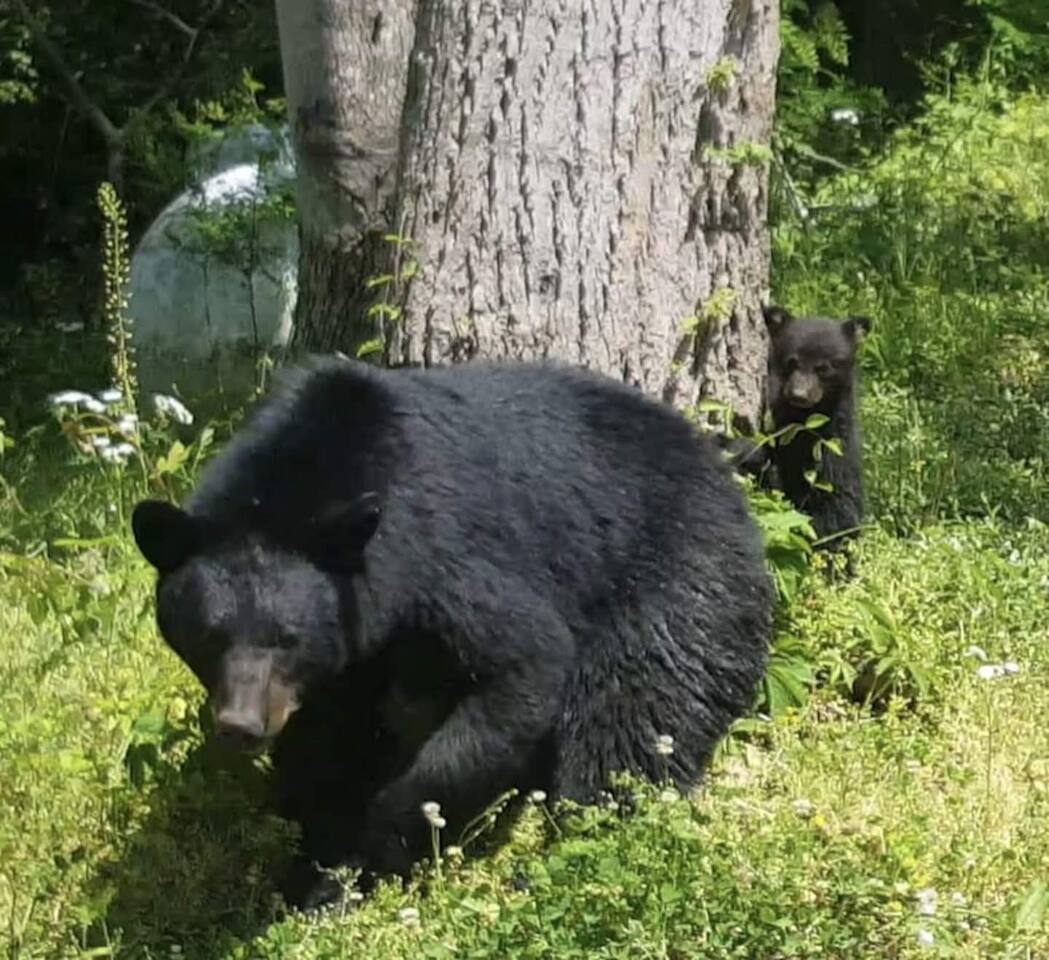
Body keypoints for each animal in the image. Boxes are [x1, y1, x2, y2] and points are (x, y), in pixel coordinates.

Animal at [131, 358, 772, 911]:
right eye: (210, 637)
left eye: (288, 638)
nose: (241, 725)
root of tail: (719, 466)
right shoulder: (347, 663)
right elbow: (326, 752)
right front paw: (313, 872)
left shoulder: (445, 558)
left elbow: (519, 670)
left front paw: (379, 845)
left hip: (673, 573)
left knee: (631, 721)